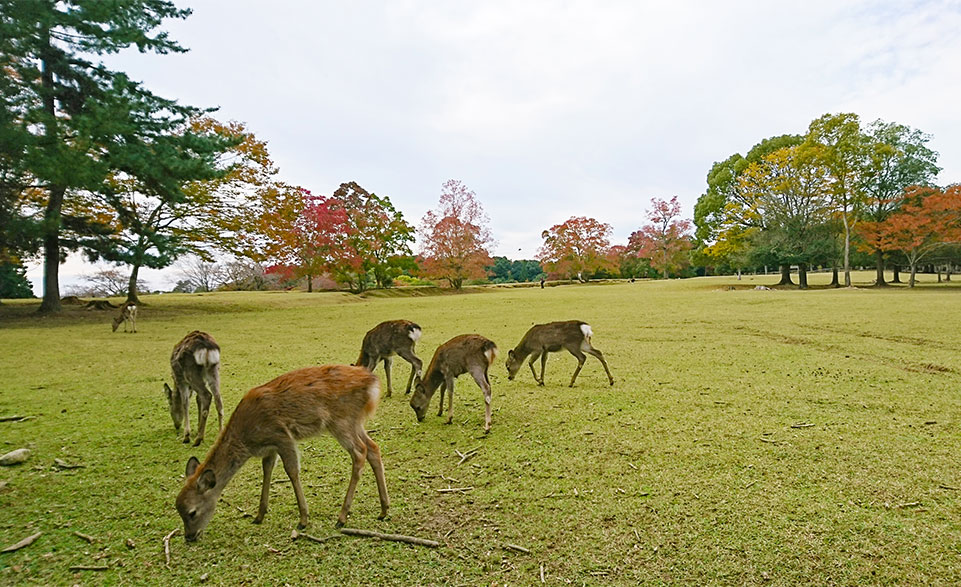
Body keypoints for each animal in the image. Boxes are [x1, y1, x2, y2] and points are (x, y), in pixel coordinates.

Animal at [174, 368, 388, 544]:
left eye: (192, 512)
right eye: (178, 510)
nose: (189, 537)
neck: (246, 438)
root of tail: (373, 383)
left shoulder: (282, 435)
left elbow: (292, 471)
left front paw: (303, 519)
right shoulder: (270, 448)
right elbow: (267, 470)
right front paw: (259, 515)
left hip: (340, 421)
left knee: (360, 452)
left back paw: (342, 517)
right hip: (355, 422)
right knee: (373, 447)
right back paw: (384, 510)